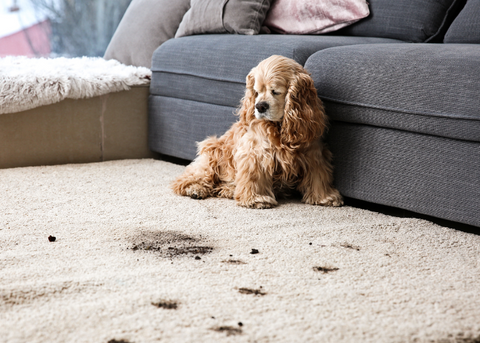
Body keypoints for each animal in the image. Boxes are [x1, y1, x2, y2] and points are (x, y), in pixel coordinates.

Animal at [171, 54, 344, 210]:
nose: (260, 106)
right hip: (212, 153)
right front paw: (256, 199)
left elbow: (319, 176)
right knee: (188, 178)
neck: (280, 127)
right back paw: (195, 189)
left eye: (275, 91)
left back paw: (228, 190)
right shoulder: (255, 153)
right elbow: (254, 176)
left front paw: (325, 197)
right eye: (257, 91)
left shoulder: (313, 153)